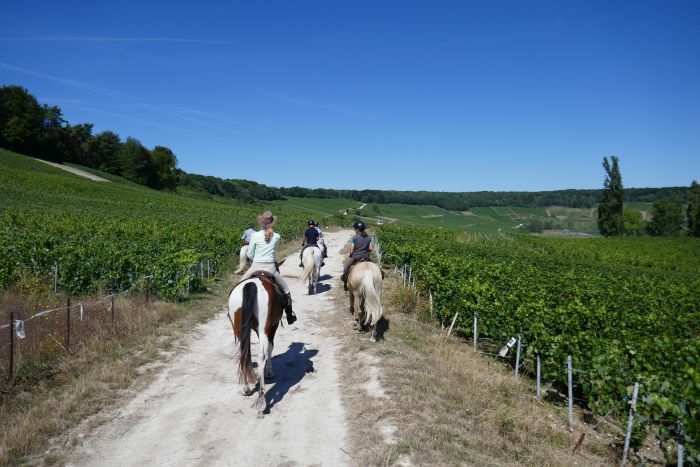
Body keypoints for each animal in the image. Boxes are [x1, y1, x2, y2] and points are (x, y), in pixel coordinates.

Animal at [230, 270, 284, 414]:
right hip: (265, 326)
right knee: (261, 355)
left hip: (240, 328)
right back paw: (261, 396)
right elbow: (270, 347)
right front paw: (269, 372)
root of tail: (250, 285)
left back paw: (246, 388)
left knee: (244, 354)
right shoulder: (273, 325)